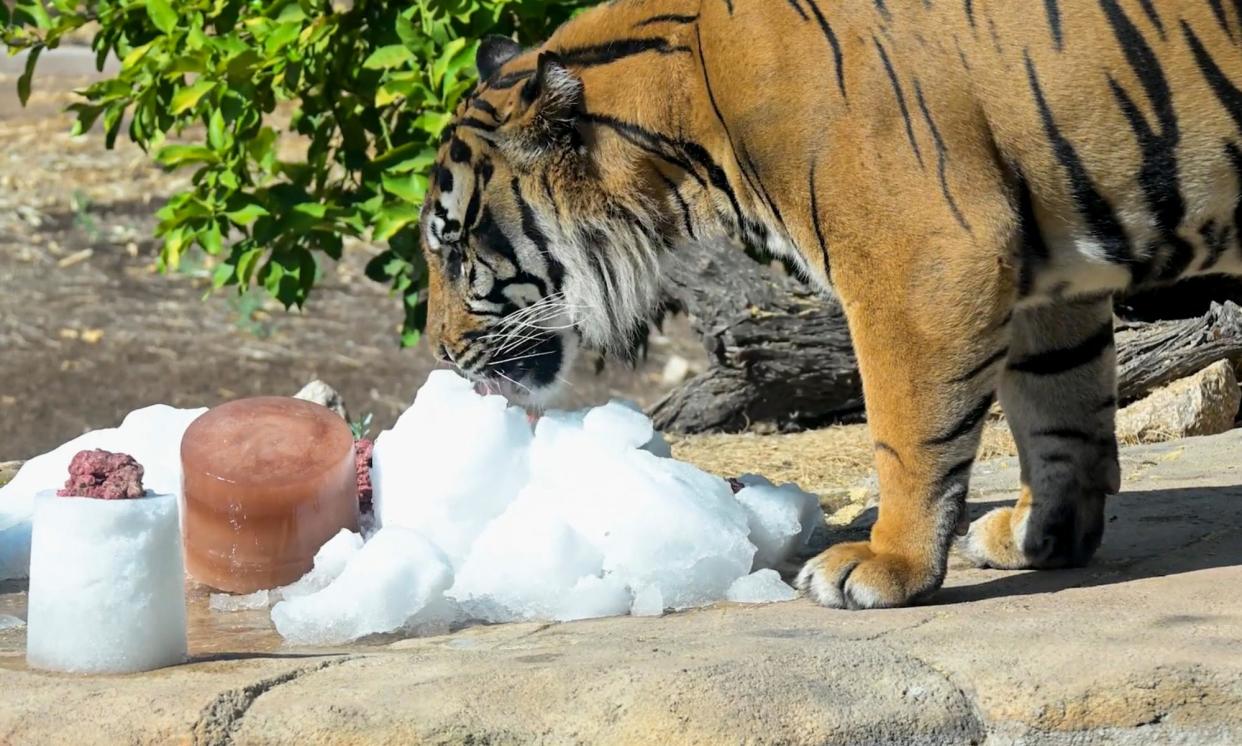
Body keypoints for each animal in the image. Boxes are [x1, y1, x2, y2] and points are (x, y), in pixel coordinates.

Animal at [422, 0, 1242, 608]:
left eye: (456, 250)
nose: (437, 349)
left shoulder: (923, 258)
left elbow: (907, 434)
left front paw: (886, 564)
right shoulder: (1049, 264)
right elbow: (1060, 406)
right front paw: (1043, 534)